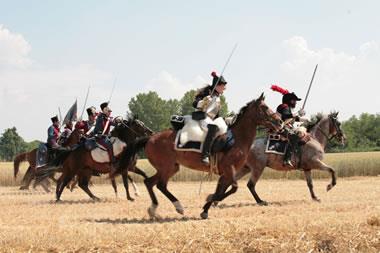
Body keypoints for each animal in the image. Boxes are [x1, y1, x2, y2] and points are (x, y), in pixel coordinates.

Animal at [120, 94, 284, 218]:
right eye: (264, 107)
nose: (280, 121)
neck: (237, 138)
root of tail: (150, 138)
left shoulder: (226, 173)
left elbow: (222, 190)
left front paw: (206, 209)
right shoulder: (229, 169)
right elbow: (233, 188)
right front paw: (210, 199)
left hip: (171, 168)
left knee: (150, 182)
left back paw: (154, 209)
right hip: (166, 167)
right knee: (160, 185)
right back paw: (178, 206)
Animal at [212, 111, 346, 205]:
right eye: (338, 123)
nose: (343, 138)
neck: (314, 138)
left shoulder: (307, 168)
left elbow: (310, 184)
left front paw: (315, 198)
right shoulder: (315, 163)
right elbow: (332, 170)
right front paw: (330, 186)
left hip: (246, 168)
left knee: (229, 181)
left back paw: (216, 200)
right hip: (257, 168)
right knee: (251, 185)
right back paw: (260, 201)